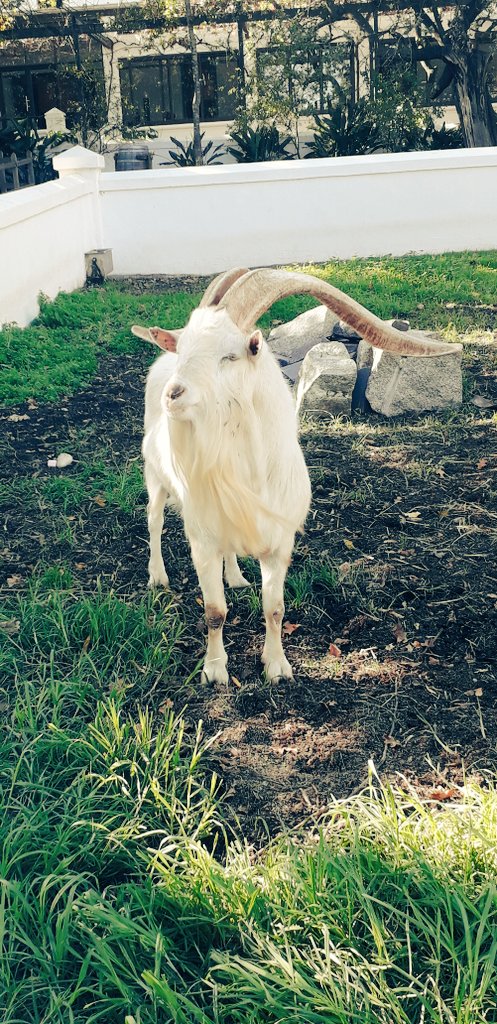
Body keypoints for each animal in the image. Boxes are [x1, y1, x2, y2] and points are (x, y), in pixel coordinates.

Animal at [134, 267, 461, 684]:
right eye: (185, 349)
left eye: (230, 354)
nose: (173, 395)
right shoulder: (203, 540)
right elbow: (215, 612)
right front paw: (215, 670)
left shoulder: (279, 542)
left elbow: (274, 609)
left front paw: (277, 666)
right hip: (155, 478)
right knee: (154, 521)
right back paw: (157, 576)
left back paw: (236, 578)